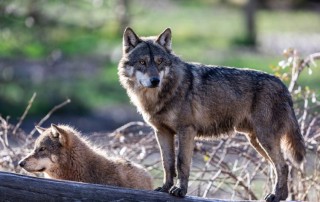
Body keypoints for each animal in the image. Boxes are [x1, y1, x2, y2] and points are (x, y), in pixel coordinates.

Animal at [117, 27, 304, 202]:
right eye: (142, 62)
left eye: (159, 61)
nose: (155, 81)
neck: (160, 96)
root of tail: (283, 86)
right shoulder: (162, 132)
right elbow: (167, 163)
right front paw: (165, 188)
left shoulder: (186, 130)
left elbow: (181, 163)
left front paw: (180, 191)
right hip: (256, 141)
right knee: (278, 166)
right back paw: (280, 195)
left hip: (264, 139)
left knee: (283, 165)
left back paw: (276, 196)